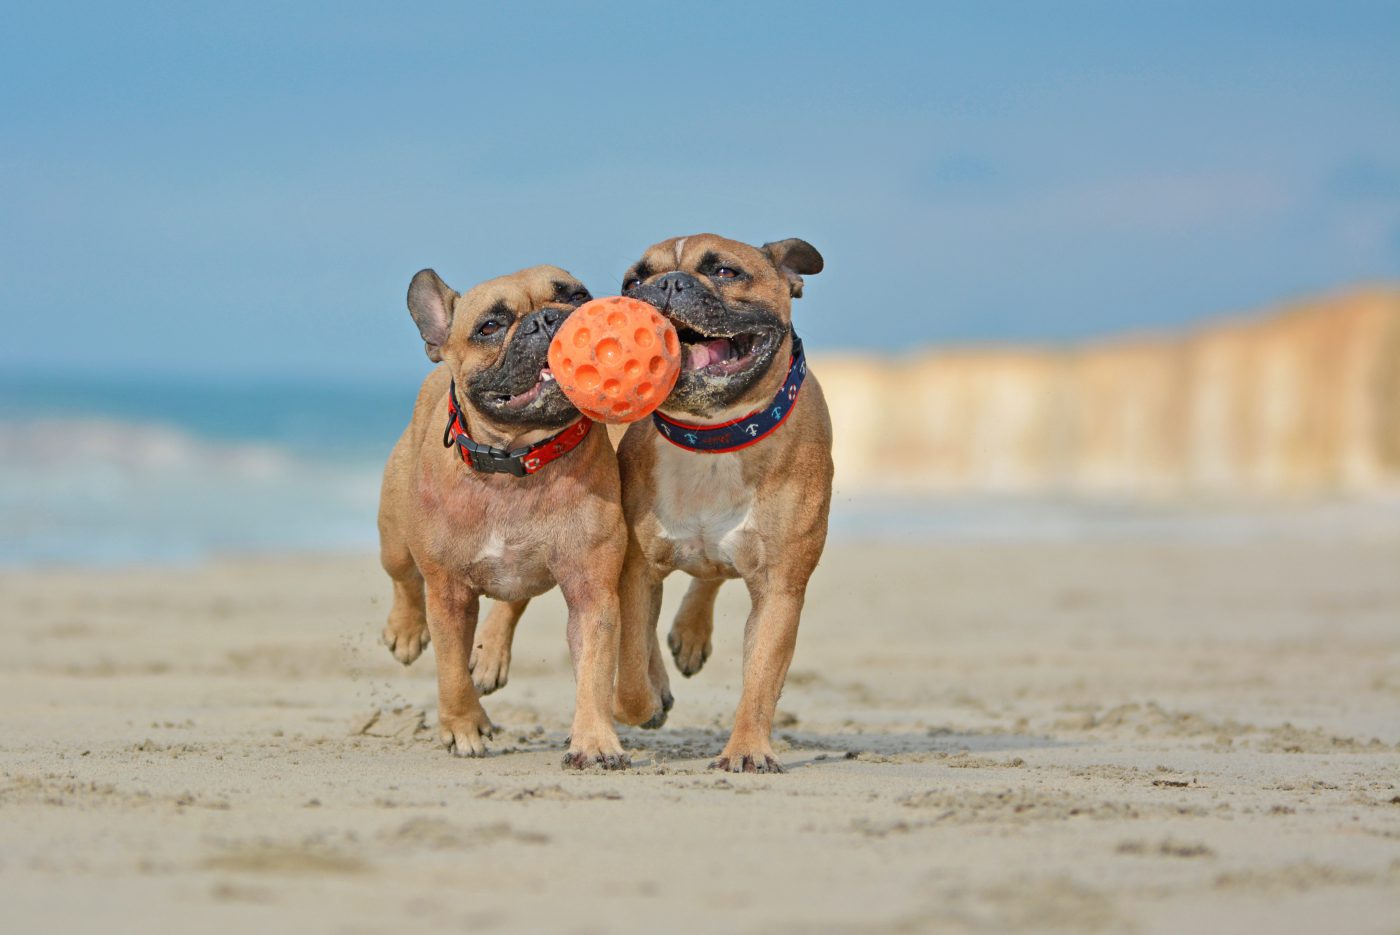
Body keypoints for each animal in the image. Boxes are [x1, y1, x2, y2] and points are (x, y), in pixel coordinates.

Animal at [378, 263, 630, 767]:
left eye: (577, 296)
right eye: (490, 327)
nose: (547, 320)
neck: (519, 458)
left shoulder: (593, 590)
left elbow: (595, 667)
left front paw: (595, 740)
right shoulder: (448, 593)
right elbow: (450, 667)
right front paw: (463, 727)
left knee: (513, 599)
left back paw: (491, 651)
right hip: (394, 534)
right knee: (404, 579)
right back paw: (406, 631)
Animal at [610, 235, 828, 772]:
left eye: (726, 272)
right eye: (633, 281)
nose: (668, 283)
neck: (712, 436)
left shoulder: (780, 587)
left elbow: (762, 676)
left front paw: (747, 749)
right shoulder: (635, 570)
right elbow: (630, 673)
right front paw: (647, 701)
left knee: (711, 574)